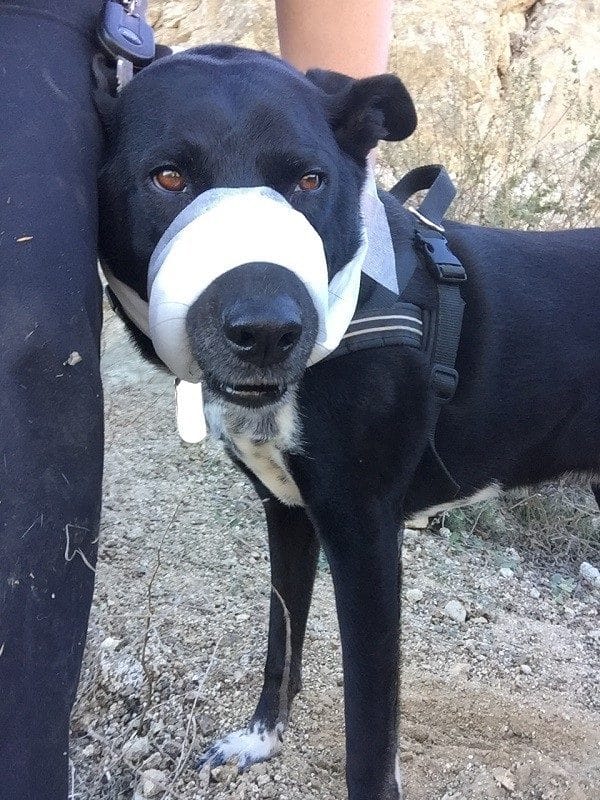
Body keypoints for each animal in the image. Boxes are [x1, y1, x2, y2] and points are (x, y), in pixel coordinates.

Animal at [95, 47, 600, 796]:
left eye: (309, 180)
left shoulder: (365, 534)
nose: (268, 332)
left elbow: (369, 725)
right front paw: (260, 739)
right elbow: (282, 637)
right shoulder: (288, 511)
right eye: (169, 177)